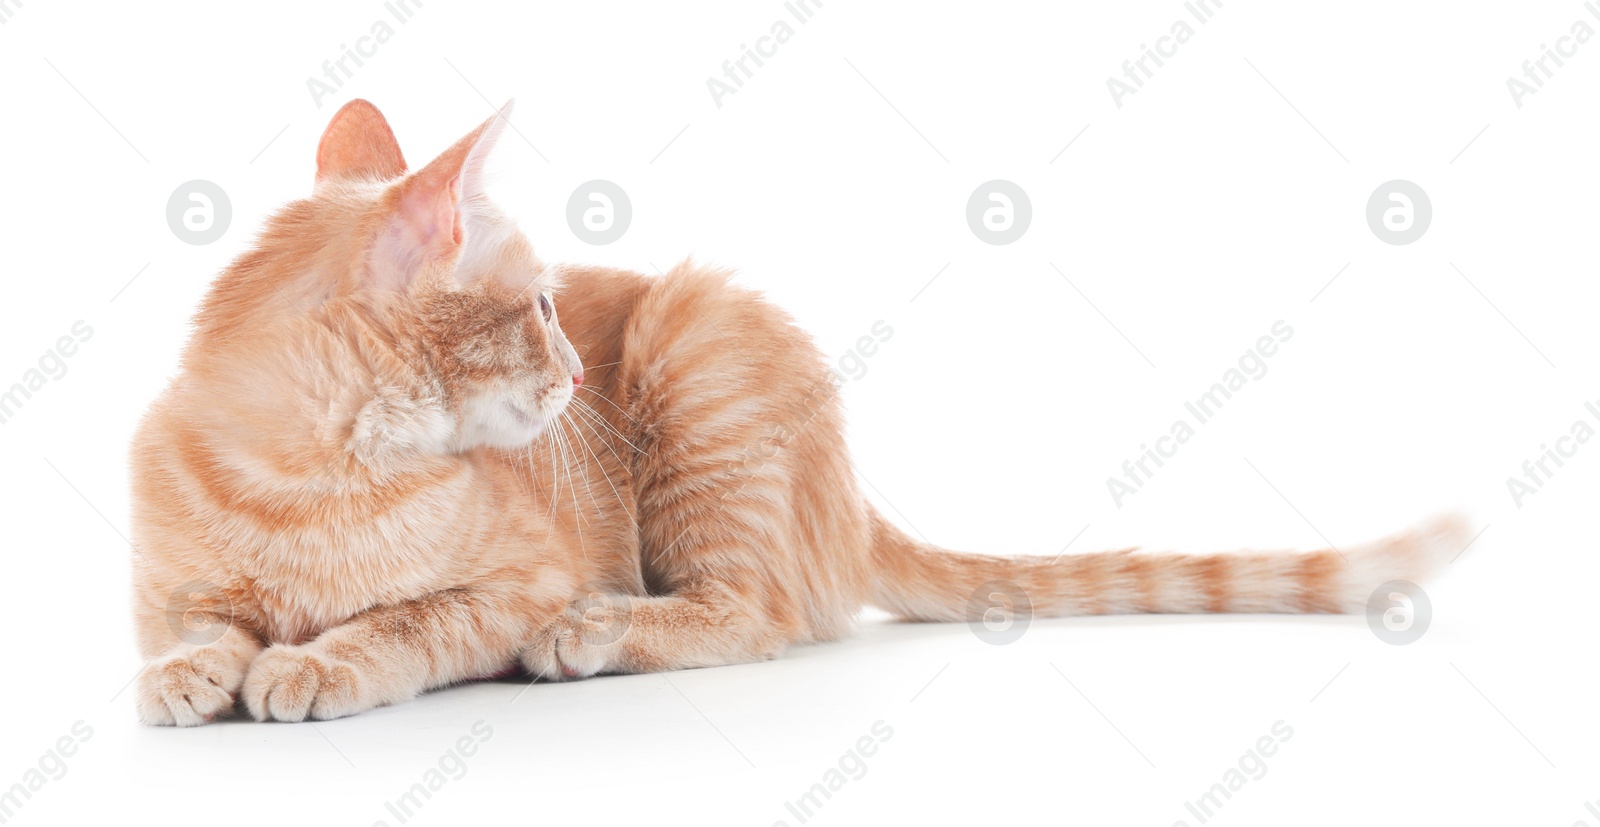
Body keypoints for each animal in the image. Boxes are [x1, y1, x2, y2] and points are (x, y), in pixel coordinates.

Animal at [131, 101, 1465, 723]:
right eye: (542, 308)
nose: (575, 378)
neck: (314, 482)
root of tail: (851, 488)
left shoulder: (519, 578)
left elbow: (417, 616)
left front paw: (324, 656)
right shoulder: (166, 590)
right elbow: (193, 628)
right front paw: (195, 673)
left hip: (698, 349)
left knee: (756, 612)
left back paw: (603, 630)